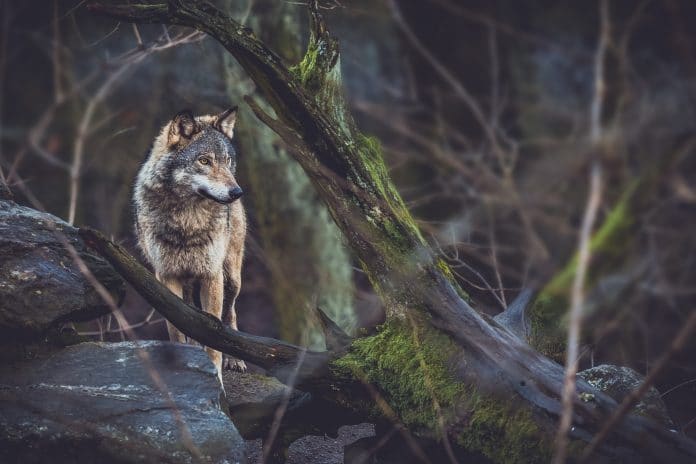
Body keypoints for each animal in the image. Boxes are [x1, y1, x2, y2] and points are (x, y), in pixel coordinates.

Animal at [133, 107, 247, 373]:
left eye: (227, 161)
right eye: (204, 161)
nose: (237, 192)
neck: (188, 220)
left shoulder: (211, 275)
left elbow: (215, 332)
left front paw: (215, 372)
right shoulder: (166, 276)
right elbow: (177, 330)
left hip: (231, 278)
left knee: (231, 313)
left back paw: (235, 359)